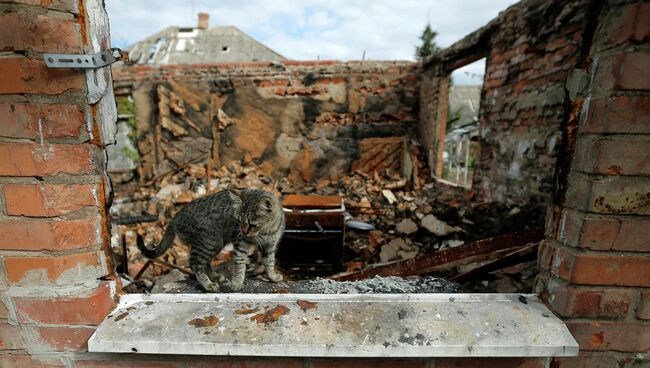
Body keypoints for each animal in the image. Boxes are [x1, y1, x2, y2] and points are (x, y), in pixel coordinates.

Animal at [137, 188, 284, 292]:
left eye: (252, 225)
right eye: (239, 220)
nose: (243, 231)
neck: (266, 232)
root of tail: (175, 217)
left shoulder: (270, 245)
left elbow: (269, 262)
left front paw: (272, 276)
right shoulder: (240, 243)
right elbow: (240, 264)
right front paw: (236, 283)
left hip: (213, 244)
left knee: (204, 263)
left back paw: (214, 277)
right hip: (209, 242)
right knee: (195, 264)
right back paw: (207, 284)